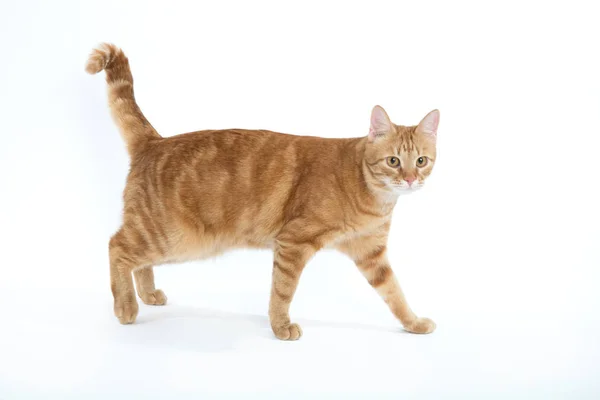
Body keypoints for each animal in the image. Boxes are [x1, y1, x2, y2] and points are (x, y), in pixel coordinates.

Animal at [85, 43, 440, 340]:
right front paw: (281, 326)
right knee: (117, 247)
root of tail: (154, 141)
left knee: (137, 260)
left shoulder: (371, 254)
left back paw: (147, 295)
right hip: (176, 238)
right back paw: (126, 306)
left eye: (421, 161)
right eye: (394, 161)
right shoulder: (294, 243)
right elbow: (282, 292)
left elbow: (395, 294)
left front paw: (414, 323)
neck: (372, 195)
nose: (410, 179)